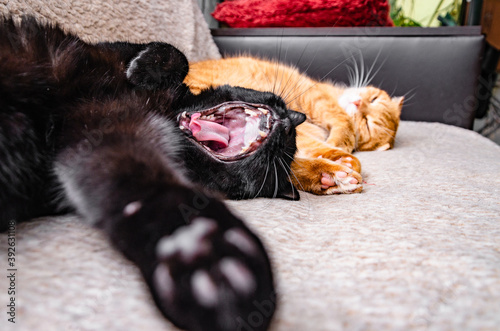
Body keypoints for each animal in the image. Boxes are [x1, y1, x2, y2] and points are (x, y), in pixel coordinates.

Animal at [0, 17, 306, 331]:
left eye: (284, 154)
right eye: (280, 107)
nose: (286, 125)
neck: (167, 110)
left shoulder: (110, 138)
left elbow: (148, 191)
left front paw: (201, 250)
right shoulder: (104, 55)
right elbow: (176, 54)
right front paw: (142, 69)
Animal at [186, 56, 404, 196]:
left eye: (367, 123)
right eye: (374, 99)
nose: (358, 103)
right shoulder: (316, 100)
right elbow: (343, 123)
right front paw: (341, 151)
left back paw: (328, 178)